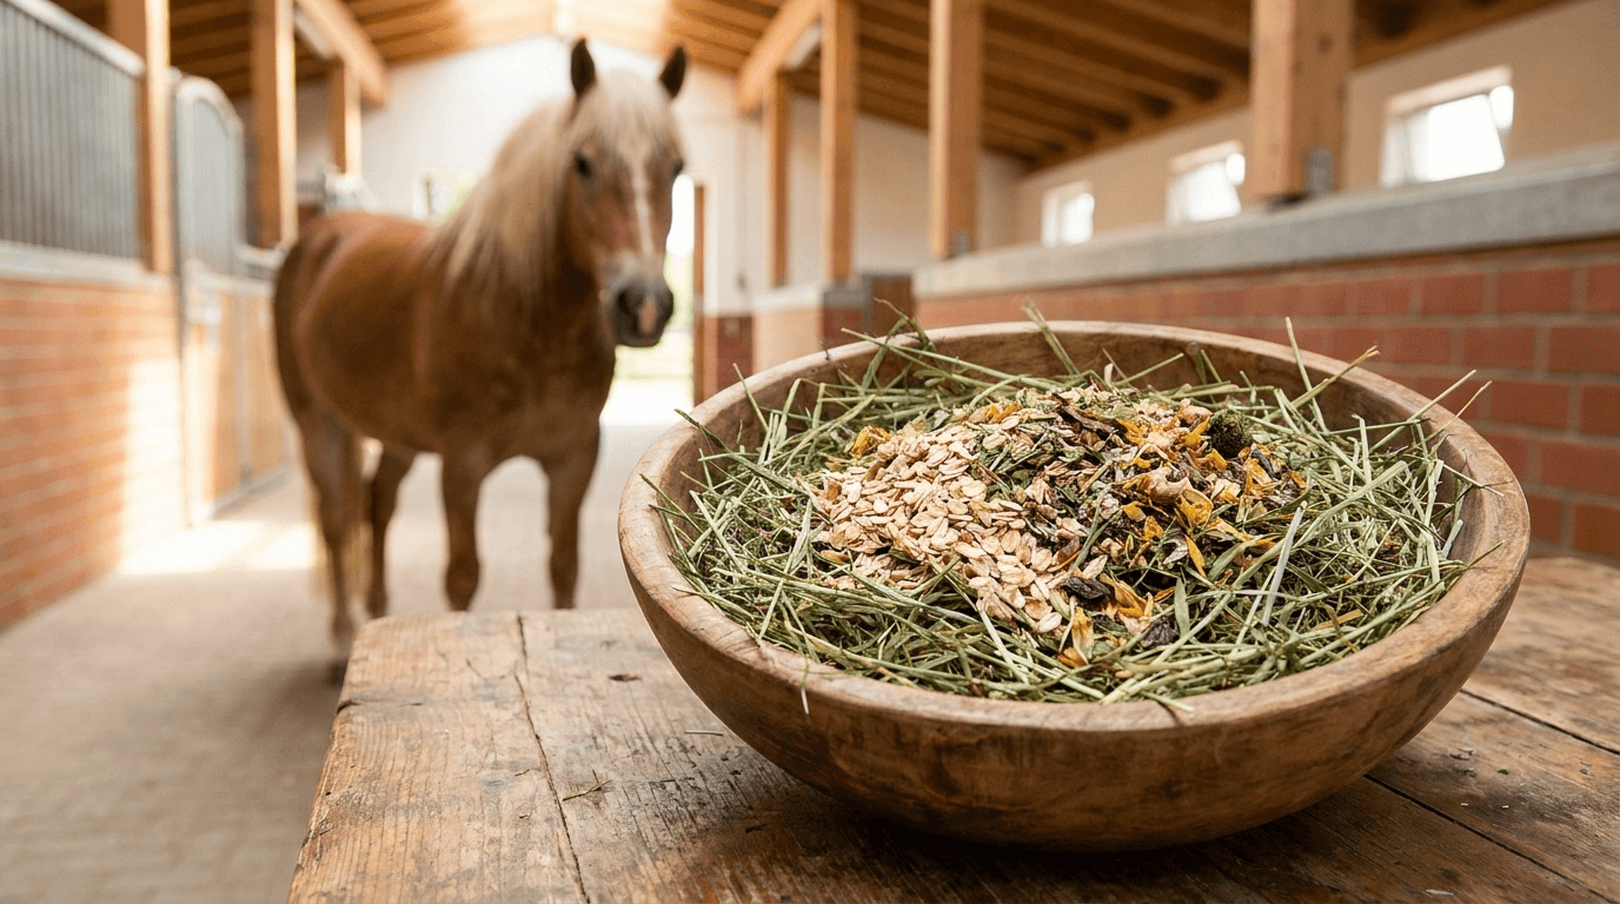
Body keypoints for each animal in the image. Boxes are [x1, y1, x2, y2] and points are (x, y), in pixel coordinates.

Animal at [273, 39, 687, 660]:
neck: (528, 326)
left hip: (398, 435)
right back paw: (344, 633)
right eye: (582, 163)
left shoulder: (573, 458)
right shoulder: (462, 465)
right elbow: (463, 575)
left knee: (376, 502)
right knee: (336, 517)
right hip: (318, 422)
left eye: (676, 168)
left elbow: (564, 564)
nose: (643, 306)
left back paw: (378, 611)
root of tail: (321, 236)